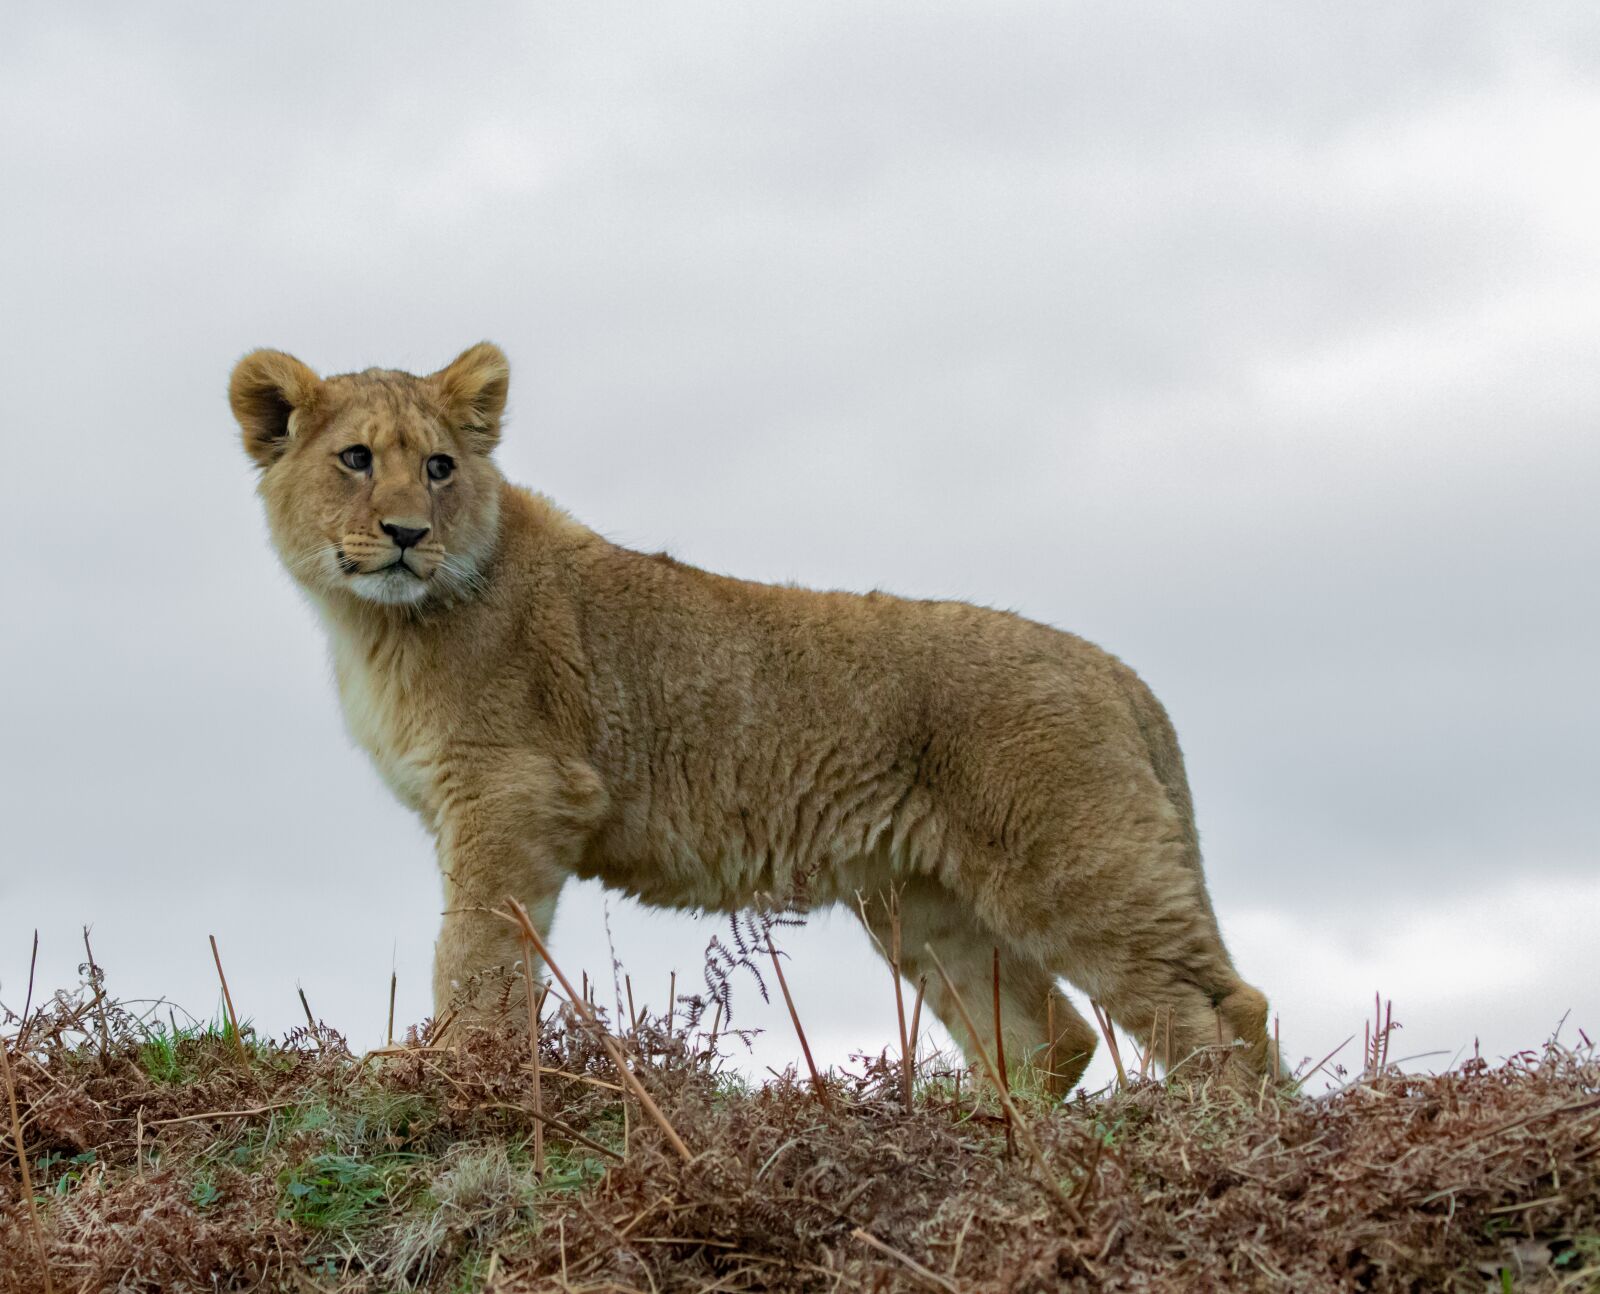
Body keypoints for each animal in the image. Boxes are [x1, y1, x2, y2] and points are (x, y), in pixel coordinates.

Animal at [229, 341, 1274, 1092]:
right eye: (356, 459)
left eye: (441, 467)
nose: (408, 534)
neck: (379, 625)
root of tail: (1117, 671)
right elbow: (491, 942)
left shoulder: (514, 788)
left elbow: (474, 943)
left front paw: (446, 1066)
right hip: (923, 904)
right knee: (1046, 1037)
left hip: (1076, 867)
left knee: (1224, 1012)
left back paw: (1221, 1142)